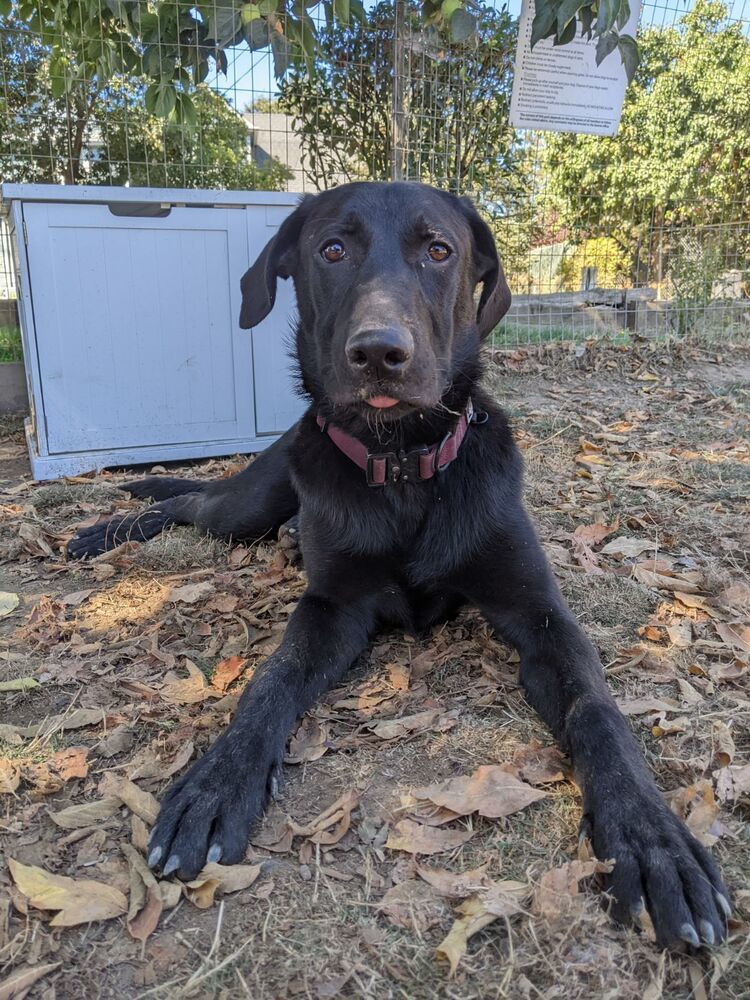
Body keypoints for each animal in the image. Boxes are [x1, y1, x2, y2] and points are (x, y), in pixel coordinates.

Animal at [69, 182, 728, 944]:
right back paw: (109, 527)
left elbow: (598, 709)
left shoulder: (539, 610)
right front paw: (215, 782)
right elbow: (270, 681)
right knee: (190, 501)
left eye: (438, 250)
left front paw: (654, 839)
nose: (379, 352)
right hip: (247, 509)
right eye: (332, 249)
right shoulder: (331, 607)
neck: (403, 466)